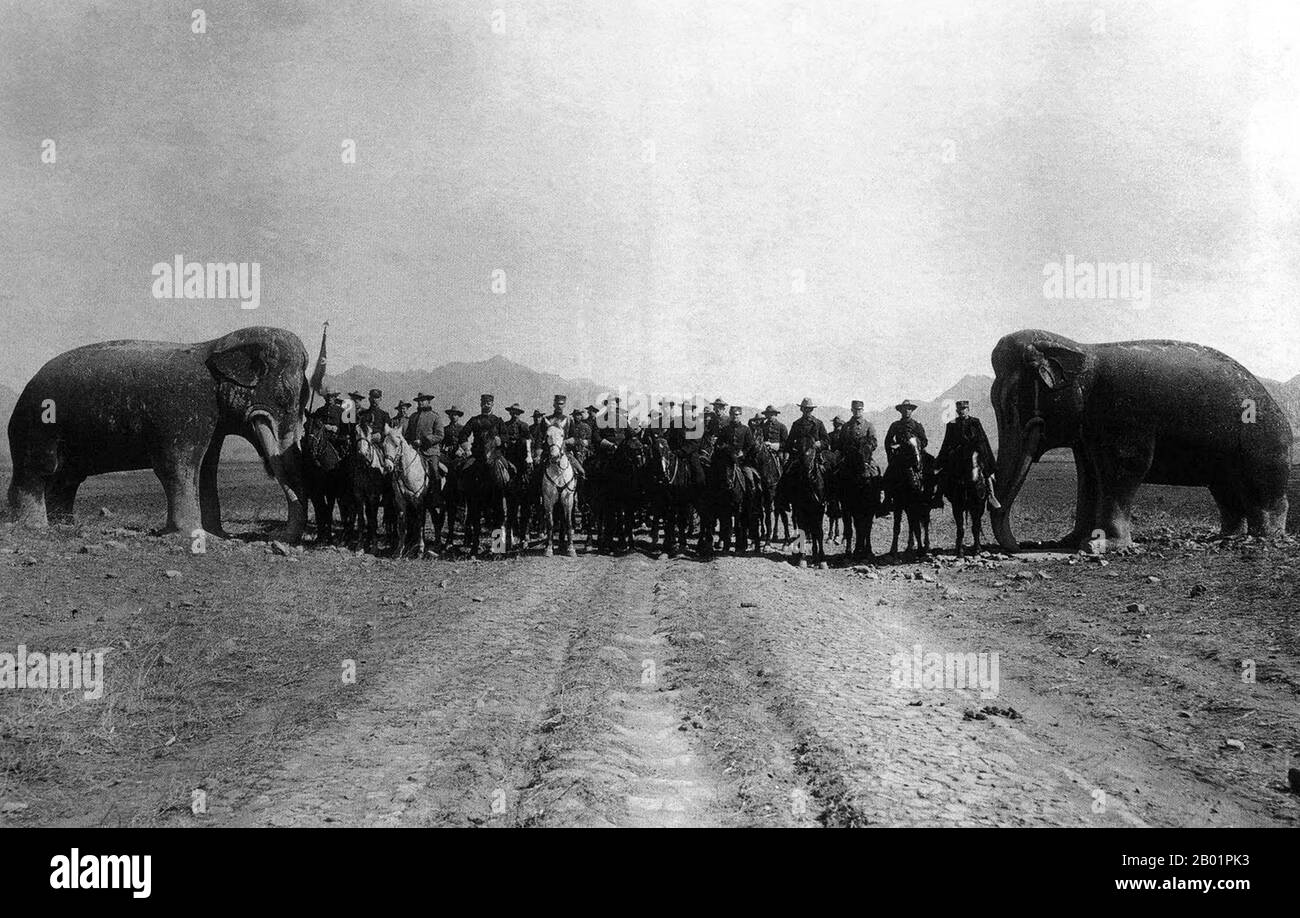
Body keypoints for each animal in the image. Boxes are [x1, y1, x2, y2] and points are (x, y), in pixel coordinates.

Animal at [540, 423, 577, 556]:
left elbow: (568, 522)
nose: (555, 456)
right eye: (547, 435)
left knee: (563, 520)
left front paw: (571, 548)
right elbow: (550, 523)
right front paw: (549, 548)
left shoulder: (568, 499)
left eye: (562, 435)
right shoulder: (547, 499)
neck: (558, 471)